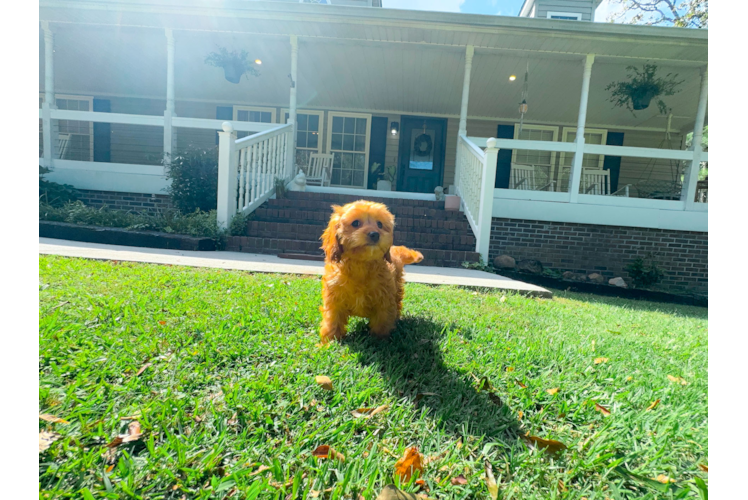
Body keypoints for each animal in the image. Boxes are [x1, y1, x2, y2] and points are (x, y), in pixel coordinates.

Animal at [318, 200, 424, 344]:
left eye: (379, 224)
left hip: (396, 289)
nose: (375, 234)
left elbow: (382, 320)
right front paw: (329, 341)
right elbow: (333, 319)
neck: (362, 264)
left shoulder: (384, 299)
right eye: (355, 223)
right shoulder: (334, 297)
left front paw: (379, 341)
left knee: (397, 304)